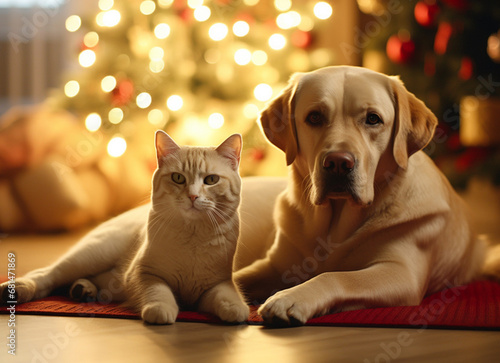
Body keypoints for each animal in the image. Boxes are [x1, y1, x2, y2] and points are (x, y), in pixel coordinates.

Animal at [0, 132, 250, 326]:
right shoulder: (143, 273)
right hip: (93, 254)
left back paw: (83, 290)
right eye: (178, 178)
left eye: (211, 180)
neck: (193, 235)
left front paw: (237, 311)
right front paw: (160, 311)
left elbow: (228, 298)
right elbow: (159, 292)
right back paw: (18, 290)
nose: (193, 196)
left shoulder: (216, 284)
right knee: (46, 275)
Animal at [233, 65, 496, 328]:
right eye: (314, 117)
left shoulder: (400, 271)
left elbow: (336, 277)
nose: (338, 163)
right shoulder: (274, 265)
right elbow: (237, 276)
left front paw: (289, 298)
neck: (334, 227)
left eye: (373, 119)